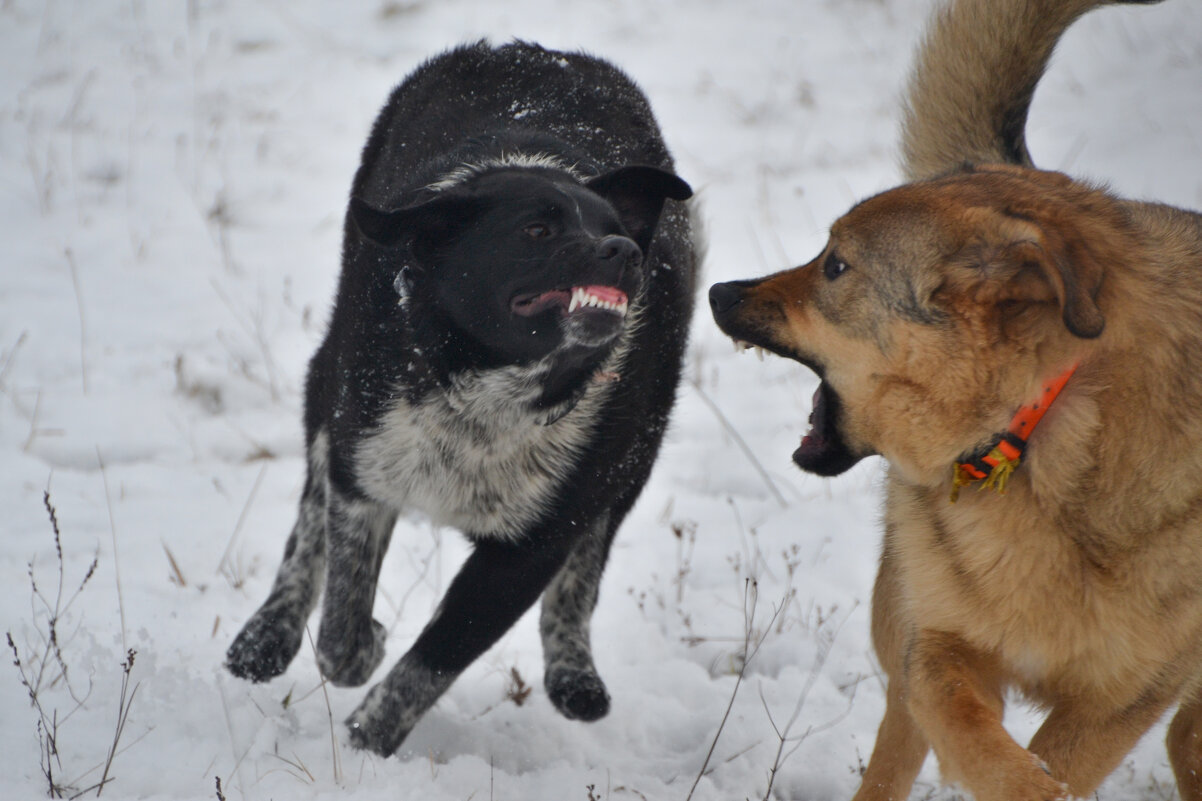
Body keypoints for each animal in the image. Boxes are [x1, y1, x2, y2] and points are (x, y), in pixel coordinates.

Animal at [225, 40, 697, 755]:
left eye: (614, 226)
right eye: (536, 230)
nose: (622, 250)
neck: (482, 391)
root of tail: (540, 51)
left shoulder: (531, 546)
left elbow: (431, 662)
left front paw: (367, 745)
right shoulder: (362, 470)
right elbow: (341, 627)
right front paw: (365, 652)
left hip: (631, 456)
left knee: (586, 567)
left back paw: (573, 671)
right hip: (326, 379)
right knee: (308, 517)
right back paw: (267, 633)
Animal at [711, 1, 1202, 798]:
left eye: (835, 266)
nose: (720, 292)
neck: (1042, 427)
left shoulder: (1130, 691)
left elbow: (1056, 758)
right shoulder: (940, 641)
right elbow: (973, 736)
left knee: (1187, 734)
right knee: (897, 737)